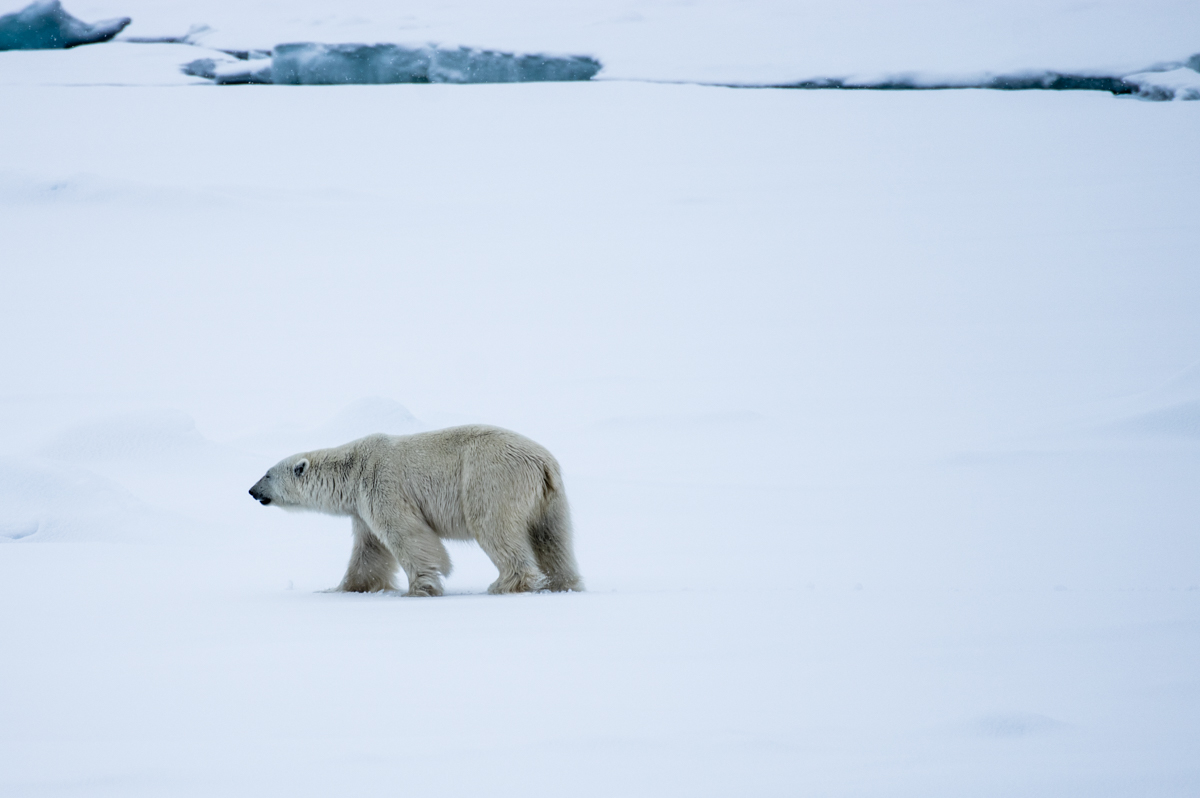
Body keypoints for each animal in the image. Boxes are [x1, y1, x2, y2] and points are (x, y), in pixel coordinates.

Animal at [246, 427, 583, 595]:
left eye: (267, 474)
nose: (251, 491)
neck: (352, 469)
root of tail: (542, 463)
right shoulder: (361, 507)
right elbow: (369, 550)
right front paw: (342, 588)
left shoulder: (382, 485)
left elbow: (407, 534)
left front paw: (420, 588)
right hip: (550, 499)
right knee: (553, 538)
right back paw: (563, 583)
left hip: (491, 479)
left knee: (494, 526)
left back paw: (504, 585)